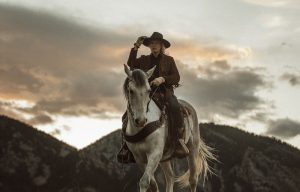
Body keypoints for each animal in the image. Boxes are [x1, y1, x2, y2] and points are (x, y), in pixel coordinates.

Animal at [122, 64, 216, 192]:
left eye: (148, 91)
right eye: (131, 91)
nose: (141, 120)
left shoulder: (155, 153)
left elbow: (144, 182)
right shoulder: (139, 158)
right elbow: (152, 184)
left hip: (192, 148)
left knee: (193, 179)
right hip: (165, 157)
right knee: (170, 177)